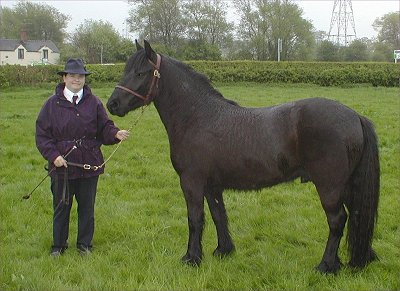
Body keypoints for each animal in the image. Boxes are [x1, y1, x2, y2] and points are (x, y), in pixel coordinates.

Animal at [108, 40, 380, 274]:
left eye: (141, 73)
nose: (112, 104)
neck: (197, 117)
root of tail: (355, 116)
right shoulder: (212, 186)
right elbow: (218, 215)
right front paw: (223, 250)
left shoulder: (191, 182)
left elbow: (195, 219)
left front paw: (192, 258)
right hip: (347, 186)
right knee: (356, 217)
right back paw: (352, 260)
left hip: (329, 187)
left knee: (337, 221)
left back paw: (326, 266)